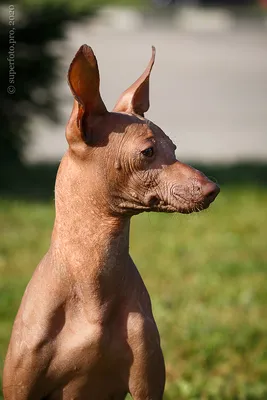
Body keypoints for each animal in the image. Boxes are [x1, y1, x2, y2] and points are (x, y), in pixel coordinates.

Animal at [3, 45, 220, 398]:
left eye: (174, 148)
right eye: (147, 152)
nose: (213, 189)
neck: (92, 280)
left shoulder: (147, 383)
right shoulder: (21, 387)